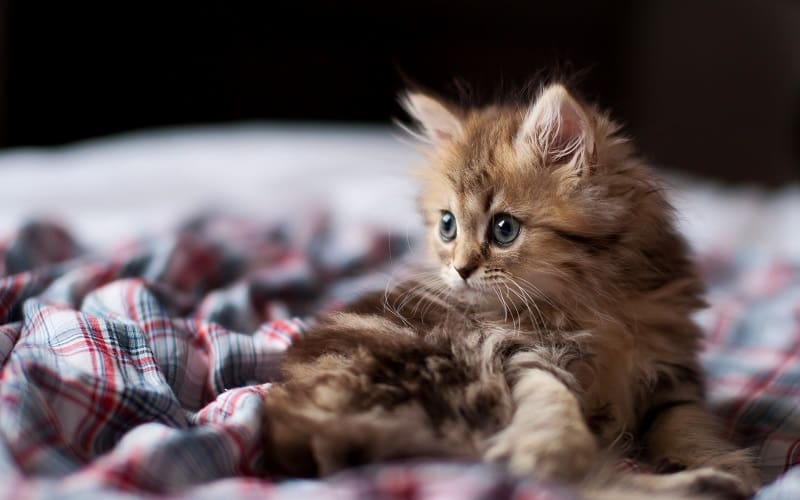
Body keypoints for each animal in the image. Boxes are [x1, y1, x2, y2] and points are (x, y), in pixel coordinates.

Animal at [264, 83, 764, 496]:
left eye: (504, 229)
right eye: (448, 226)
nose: (460, 269)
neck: (595, 300)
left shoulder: (670, 365)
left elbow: (685, 420)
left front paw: (722, 461)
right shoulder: (518, 347)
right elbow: (552, 402)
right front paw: (553, 447)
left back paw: (710, 481)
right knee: (567, 481)